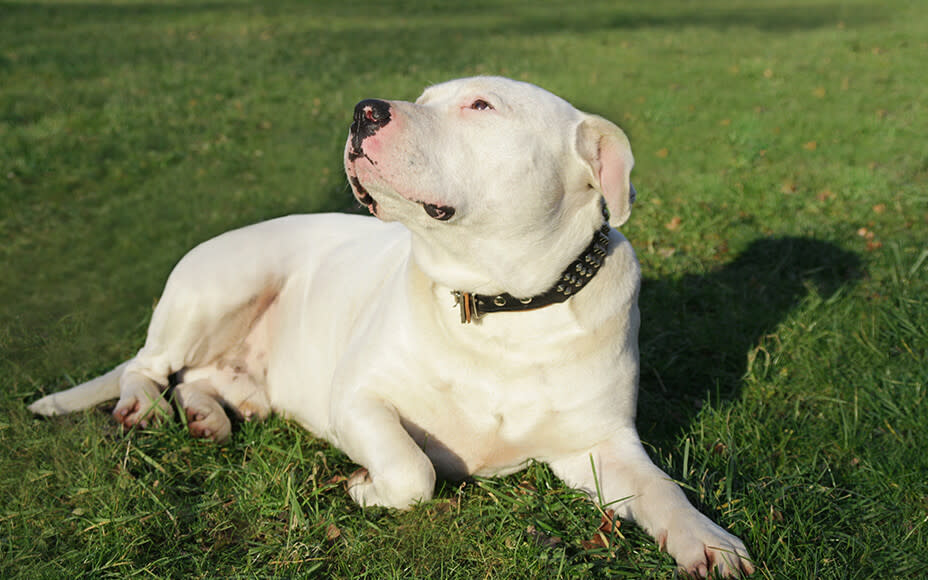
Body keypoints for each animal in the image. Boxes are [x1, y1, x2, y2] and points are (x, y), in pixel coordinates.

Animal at [30, 76, 752, 576]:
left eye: (481, 106)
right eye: (424, 96)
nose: (364, 109)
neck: (502, 309)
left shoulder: (601, 447)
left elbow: (660, 488)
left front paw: (707, 539)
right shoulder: (358, 400)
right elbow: (412, 473)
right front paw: (365, 487)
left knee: (195, 379)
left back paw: (208, 414)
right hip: (223, 282)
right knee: (149, 366)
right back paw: (144, 407)